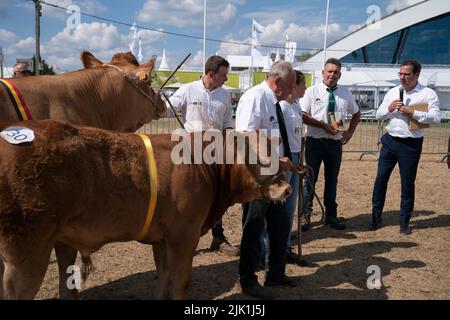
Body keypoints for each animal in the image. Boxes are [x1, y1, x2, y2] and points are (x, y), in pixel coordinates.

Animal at [0, 120, 292, 300]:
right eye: (260, 156)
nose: (288, 188)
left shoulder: (161, 239)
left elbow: (163, 278)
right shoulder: (184, 235)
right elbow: (180, 280)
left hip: (60, 241)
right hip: (27, 253)